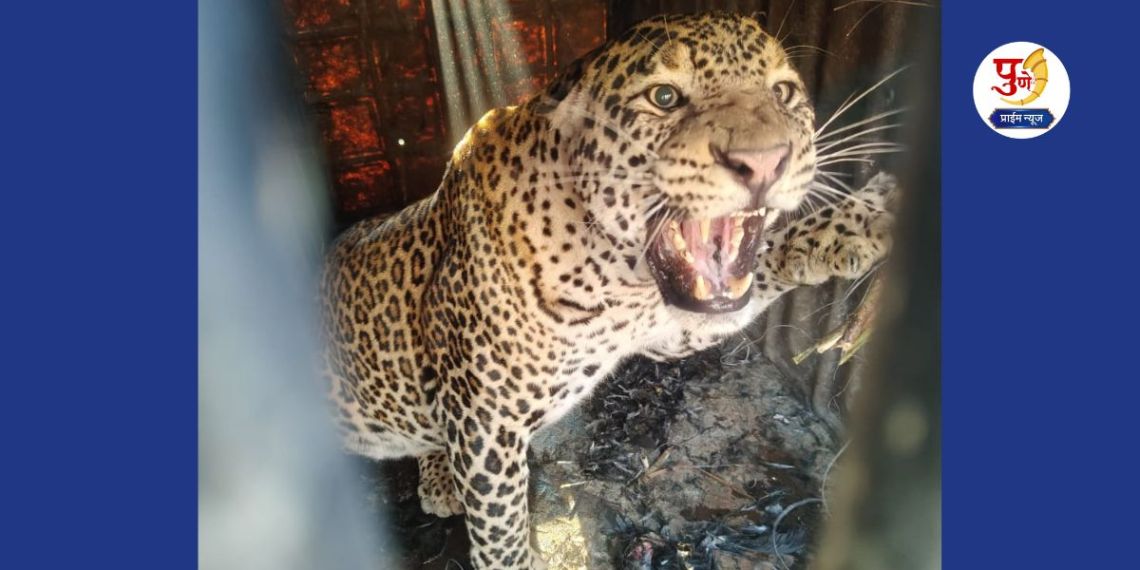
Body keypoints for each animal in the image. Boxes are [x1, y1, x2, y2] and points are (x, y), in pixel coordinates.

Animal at [320, 12, 896, 569]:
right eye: (664, 97)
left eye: (783, 91)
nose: (764, 161)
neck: (613, 274)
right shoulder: (483, 421)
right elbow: (499, 526)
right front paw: (516, 559)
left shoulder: (667, 330)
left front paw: (865, 218)